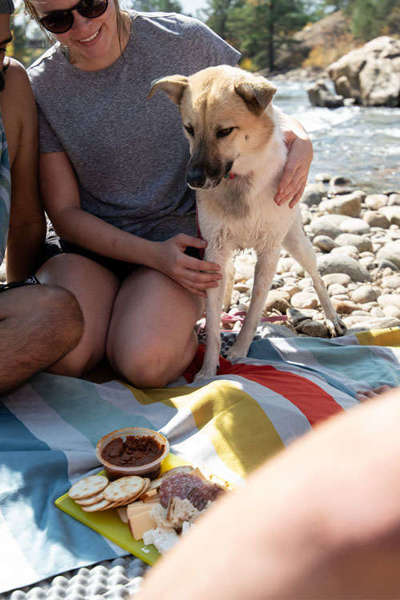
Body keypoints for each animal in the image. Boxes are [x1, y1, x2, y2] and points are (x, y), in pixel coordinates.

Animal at [149, 62, 344, 380]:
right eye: (189, 129)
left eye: (225, 131)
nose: (193, 181)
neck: (239, 181)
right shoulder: (214, 249)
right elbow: (213, 320)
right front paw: (207, 369)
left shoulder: (269, 252)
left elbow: (254, 310)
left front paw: (240, 350)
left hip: (296, 241)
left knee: (316, 277)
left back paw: (332, 317)